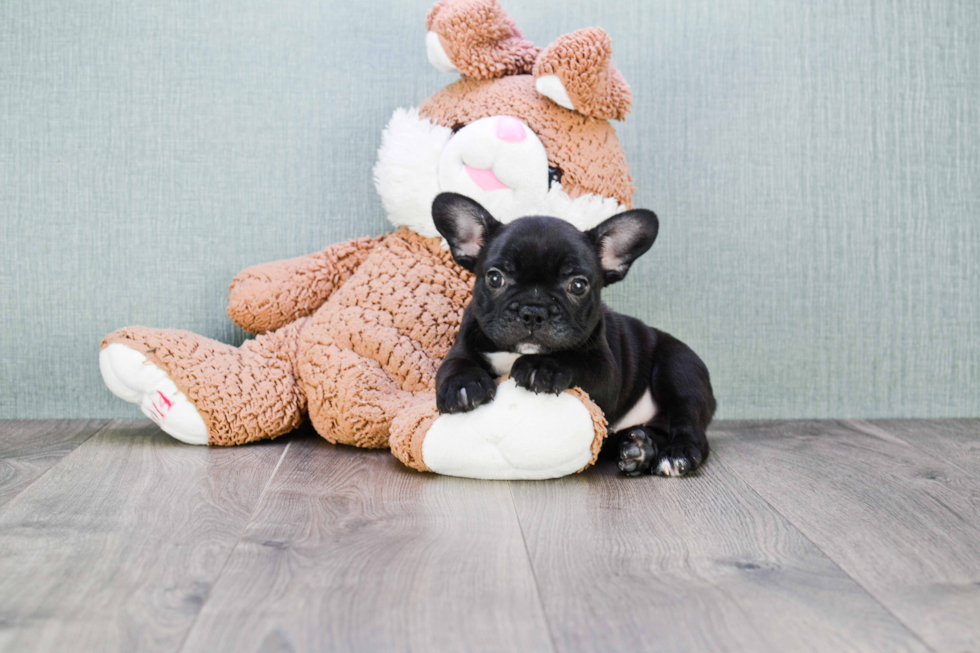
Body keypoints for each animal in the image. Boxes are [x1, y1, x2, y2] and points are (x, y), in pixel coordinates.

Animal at [432, 191, 716, 476]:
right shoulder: (463, 344)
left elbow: (574, 360)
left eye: (578, 286)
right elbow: (455, 364)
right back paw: (638, 449)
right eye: (494, 278)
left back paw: (675, 454)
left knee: (689, 424)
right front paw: (463, 385)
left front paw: (542, 366)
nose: (533, 311)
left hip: (678, 368)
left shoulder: (605, 371)